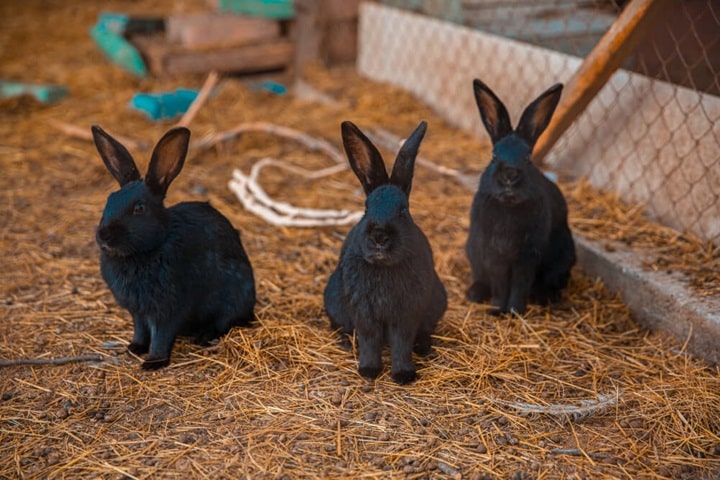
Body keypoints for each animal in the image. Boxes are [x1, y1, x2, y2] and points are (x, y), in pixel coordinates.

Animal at [92, 125, 256, 370]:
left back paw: (204, 337)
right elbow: (140, 330)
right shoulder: (138, 312)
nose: (103, 236)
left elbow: (161, 334)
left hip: (234, 296)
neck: (146, 251)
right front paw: (134, 348)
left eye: (139, 208)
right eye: (109, 200)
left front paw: (153, 362)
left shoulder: (168, 308)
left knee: (225, 323)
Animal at [323, 120, 447, 385]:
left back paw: (423, 347)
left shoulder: (406, 313)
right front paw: (369, 371)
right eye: (366, 209)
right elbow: (370, 341)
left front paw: (403, 375)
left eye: (403, 210)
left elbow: (401, 343)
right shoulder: (364, 312)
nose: (379, 237)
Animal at [465, 79, 575, 316]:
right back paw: (475, 293)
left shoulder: (527, 256)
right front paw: (497, 309)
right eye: (494, 155)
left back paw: (546, 297)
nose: (510, 175)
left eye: (527, 157)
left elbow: (519, 284)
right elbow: (499, 283)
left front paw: (515, 311)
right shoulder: (494, 254)